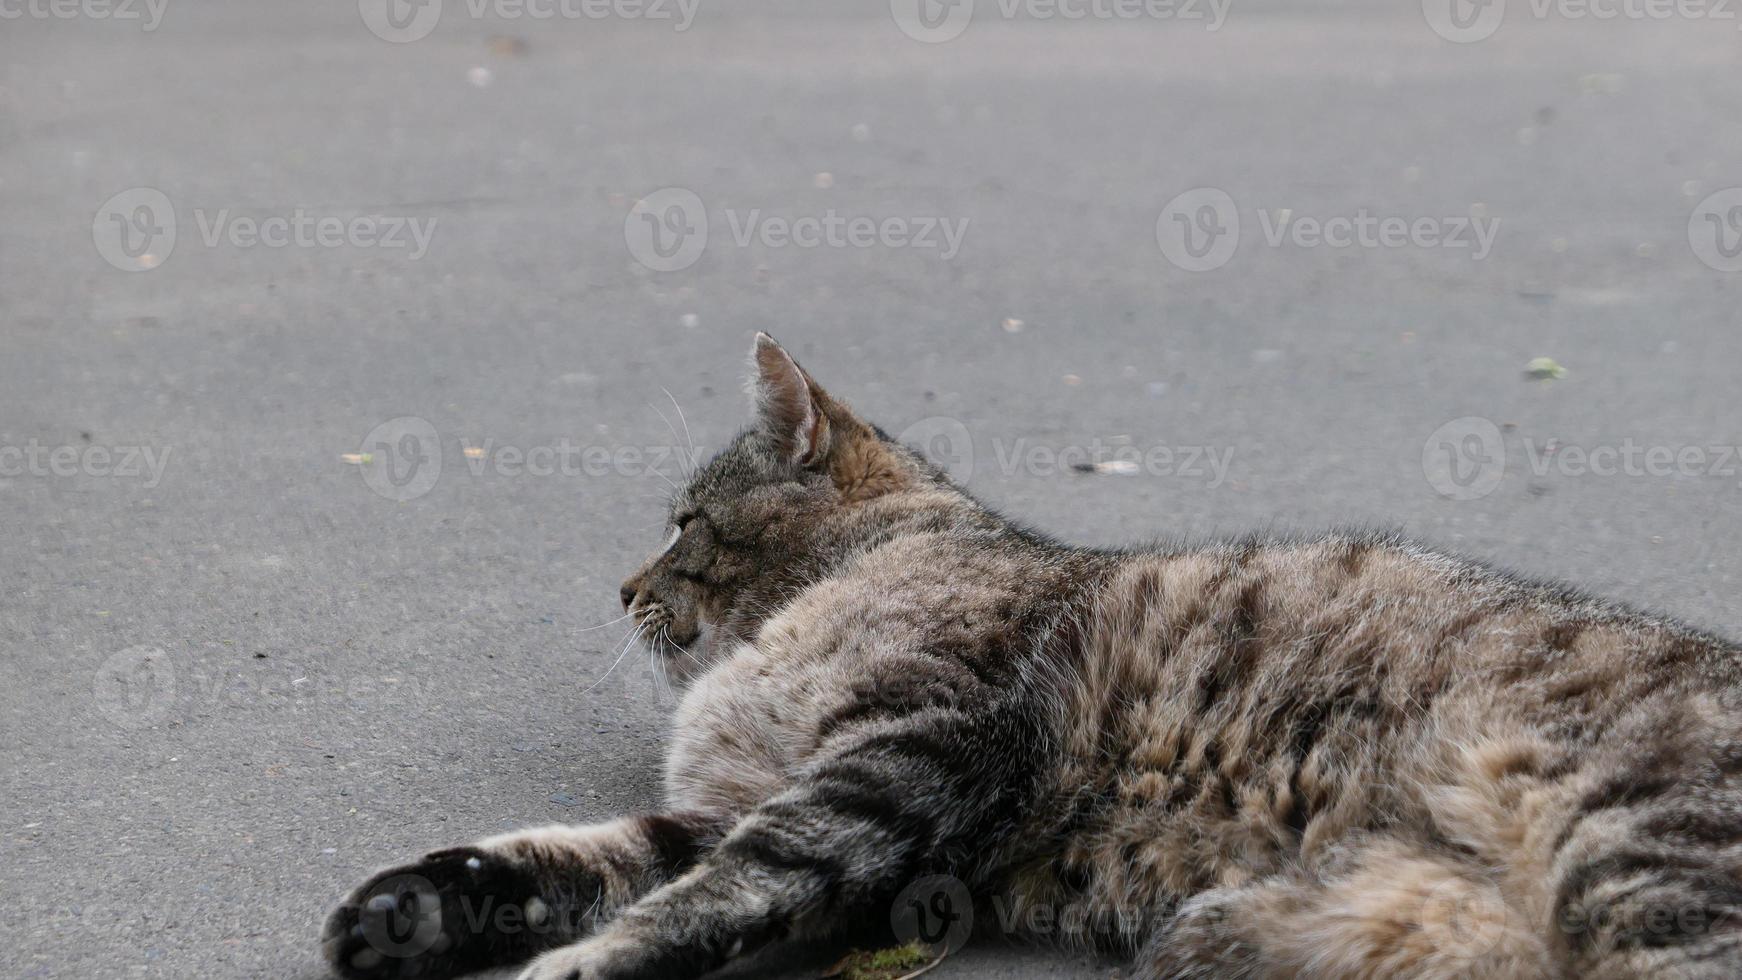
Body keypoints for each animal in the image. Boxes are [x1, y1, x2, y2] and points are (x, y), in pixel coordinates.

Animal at [324, 335, 1742, 980]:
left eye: (683, 519)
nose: (622, 587)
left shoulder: (914, 750)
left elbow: (708, 892)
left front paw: (576, 964)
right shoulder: (748, 803)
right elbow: (580, 855)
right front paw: (408, 908)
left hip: (1634, 852)